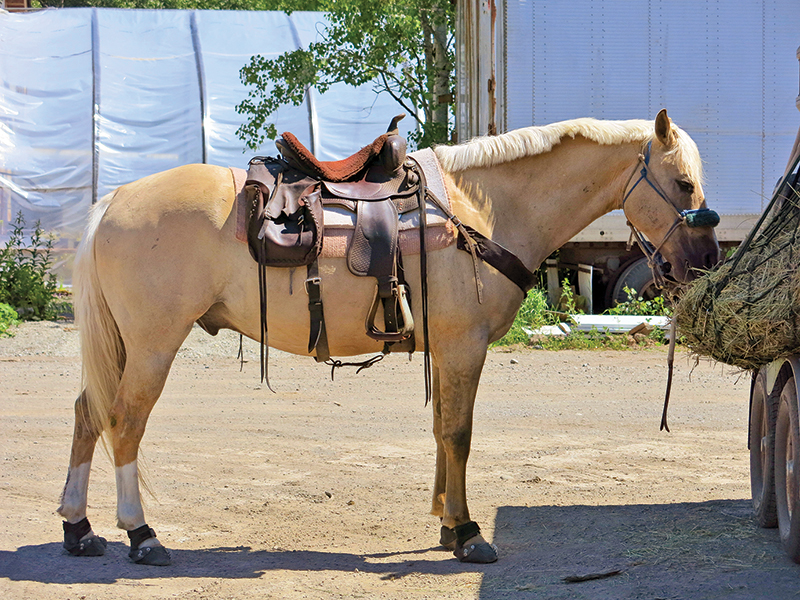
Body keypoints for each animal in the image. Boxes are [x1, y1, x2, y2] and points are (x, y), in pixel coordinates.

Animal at [56, 109, 719, 565]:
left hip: (125, 346)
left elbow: (443, 430)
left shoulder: (448, 350)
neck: (482, 210)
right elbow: (459, 434)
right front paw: (469, 535)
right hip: (152, 345)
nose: (707, 262)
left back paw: (79, 528)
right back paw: (141, 535)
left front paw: (448, 522)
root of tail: (117, 199)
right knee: (124, 421)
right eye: (684, 185)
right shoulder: (465, 345)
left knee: (87, 414)